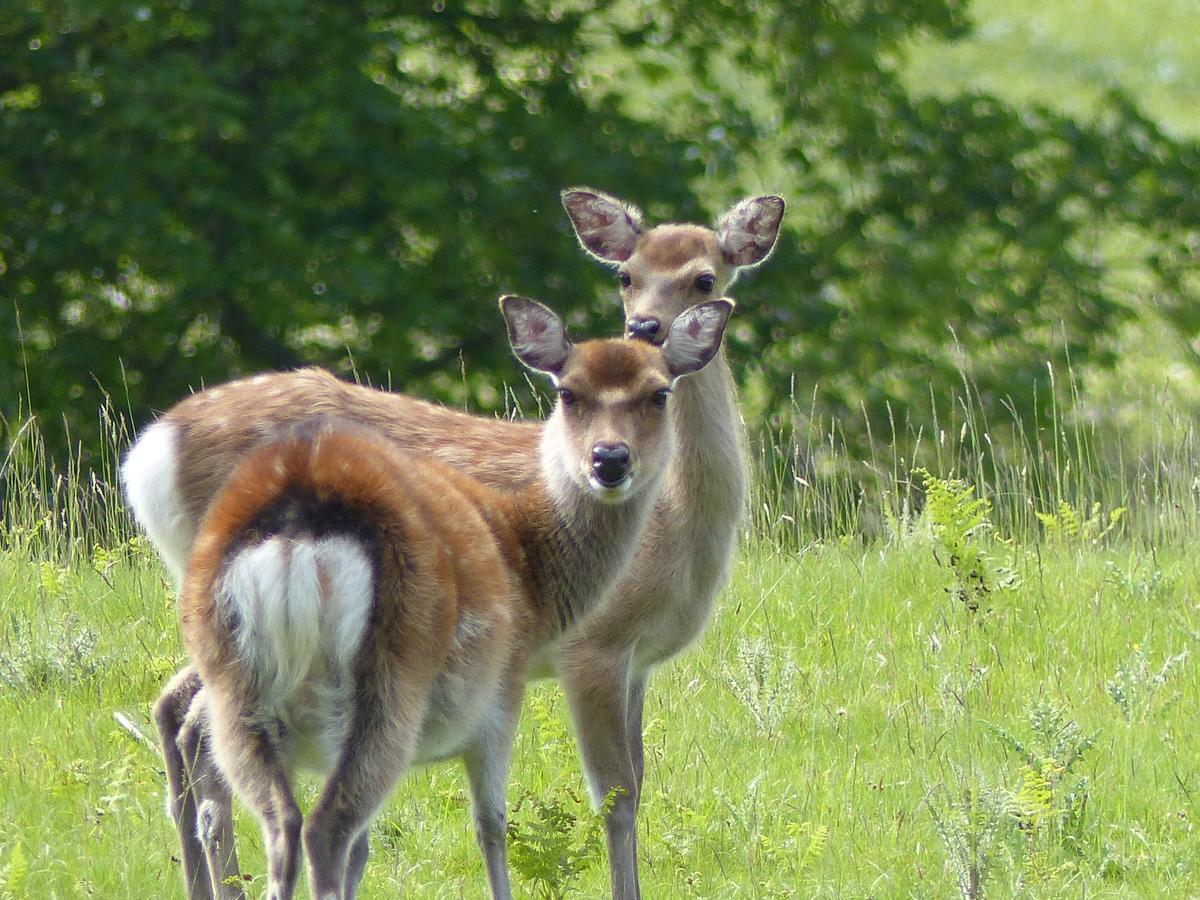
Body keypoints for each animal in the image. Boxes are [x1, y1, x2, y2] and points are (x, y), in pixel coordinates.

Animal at [124, 187, 787, 897]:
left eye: (704, 278)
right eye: (626, 275)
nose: (645, 329)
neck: (677, 530)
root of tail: (150, 453)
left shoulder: (637, 661)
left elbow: (638, 777)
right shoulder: (594, 648)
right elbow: (617, 795)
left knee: (177, 711)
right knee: (207, 734)